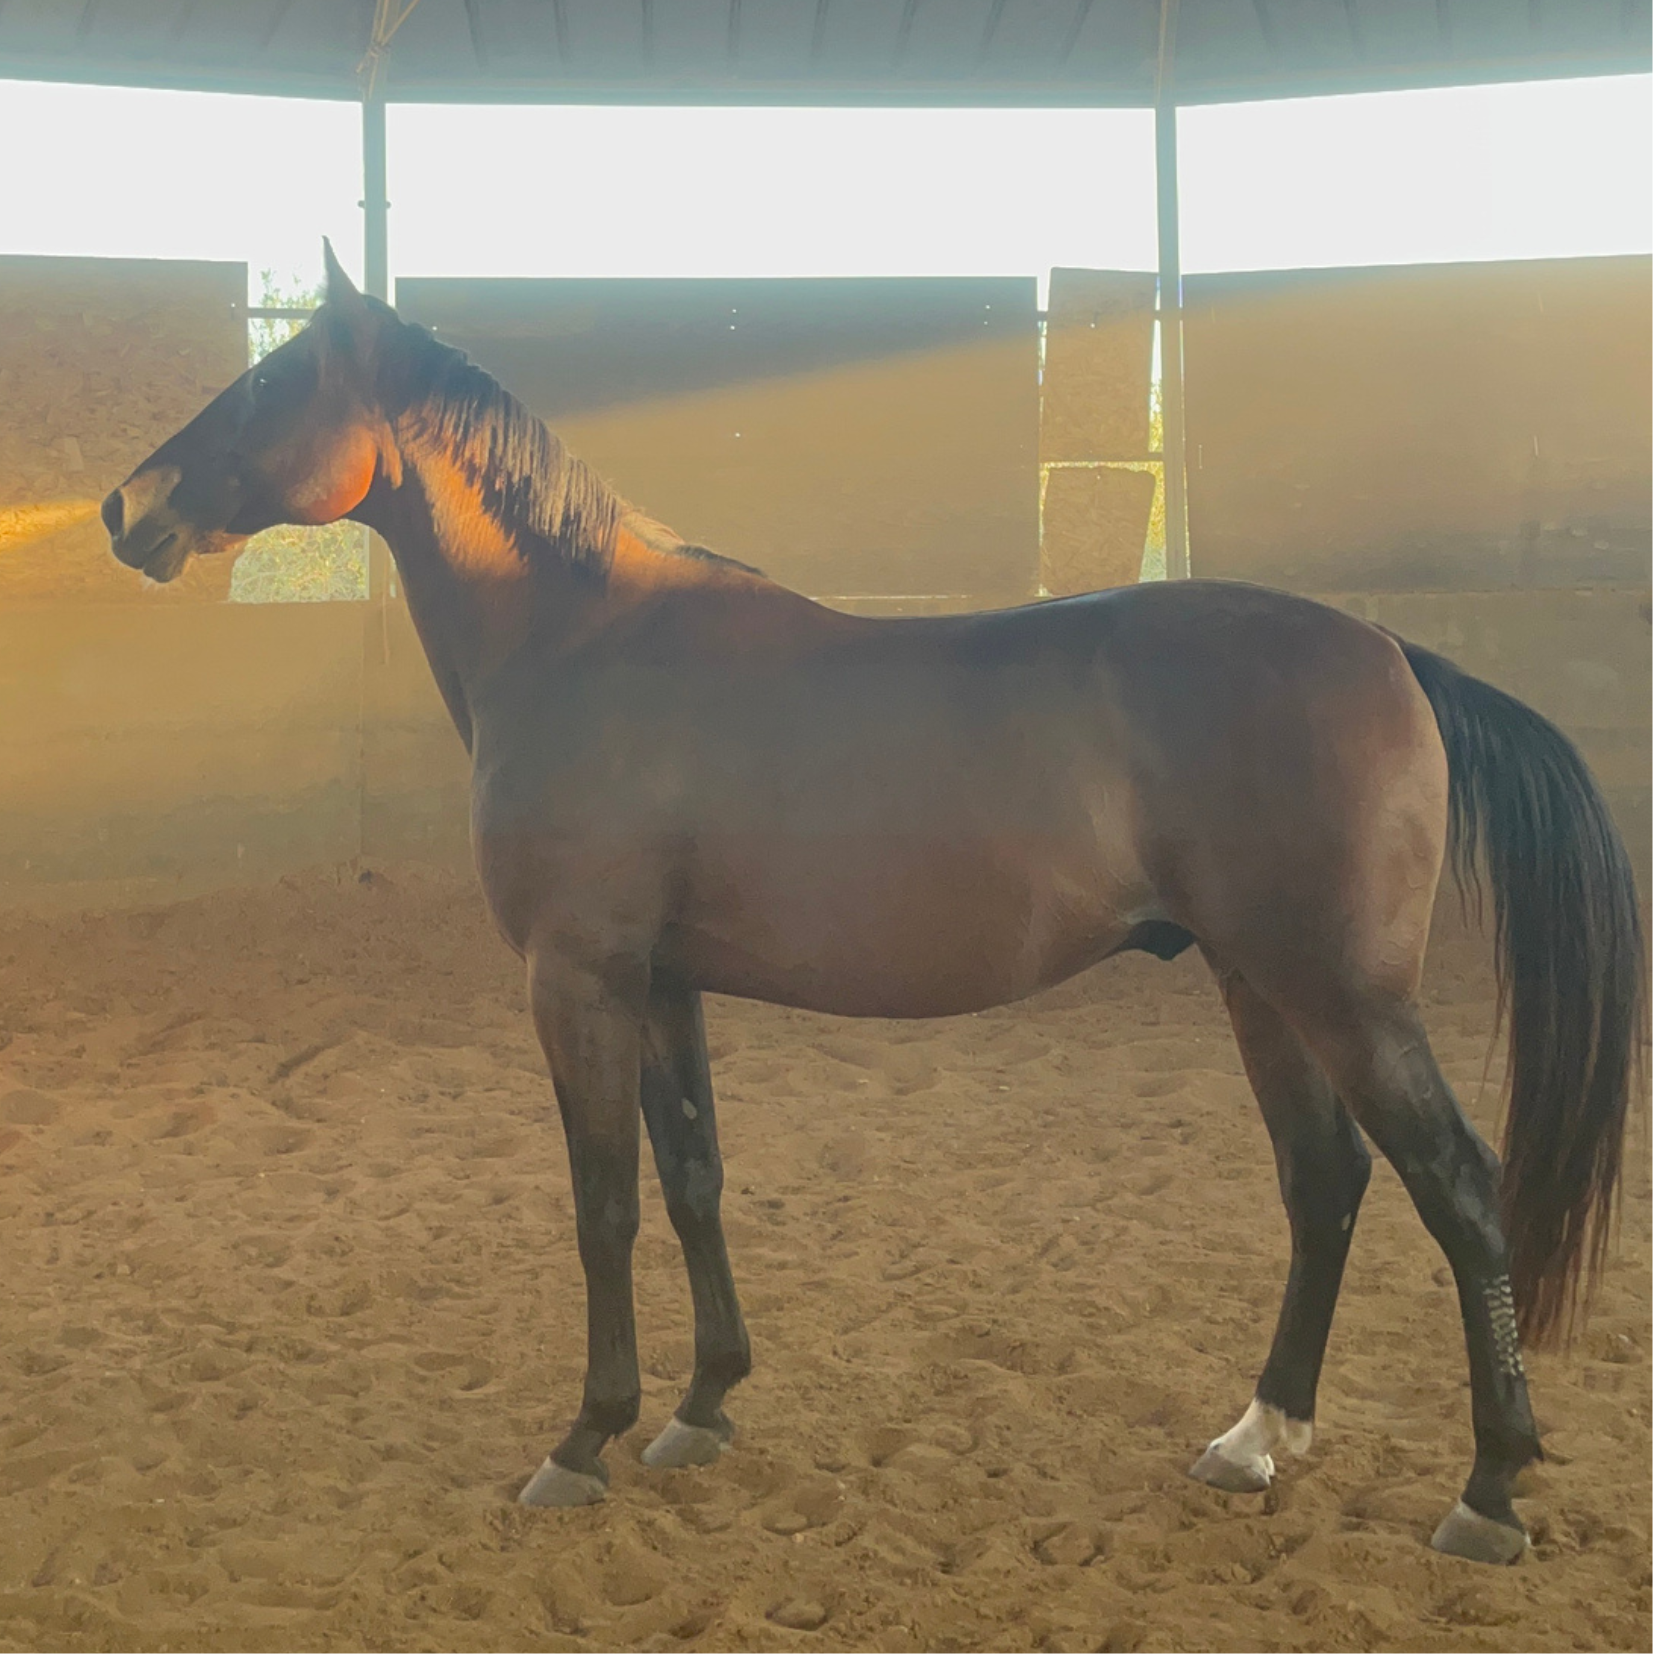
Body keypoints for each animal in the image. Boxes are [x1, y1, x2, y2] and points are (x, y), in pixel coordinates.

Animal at [101, 245, 1643, 1566]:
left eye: (268, 384)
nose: (126, 508)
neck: (583, 639)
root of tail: (1388, 649)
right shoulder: (662, 981)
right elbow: (692, 1176)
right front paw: (701, 1406)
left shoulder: (578, 975)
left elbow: (603, 1200)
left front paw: (585, 1436)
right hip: (1257, 982)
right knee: (1323, 1185)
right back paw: (1256, 1437)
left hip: (1342, 996)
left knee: (1458, 1187)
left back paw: (1488, 1488)